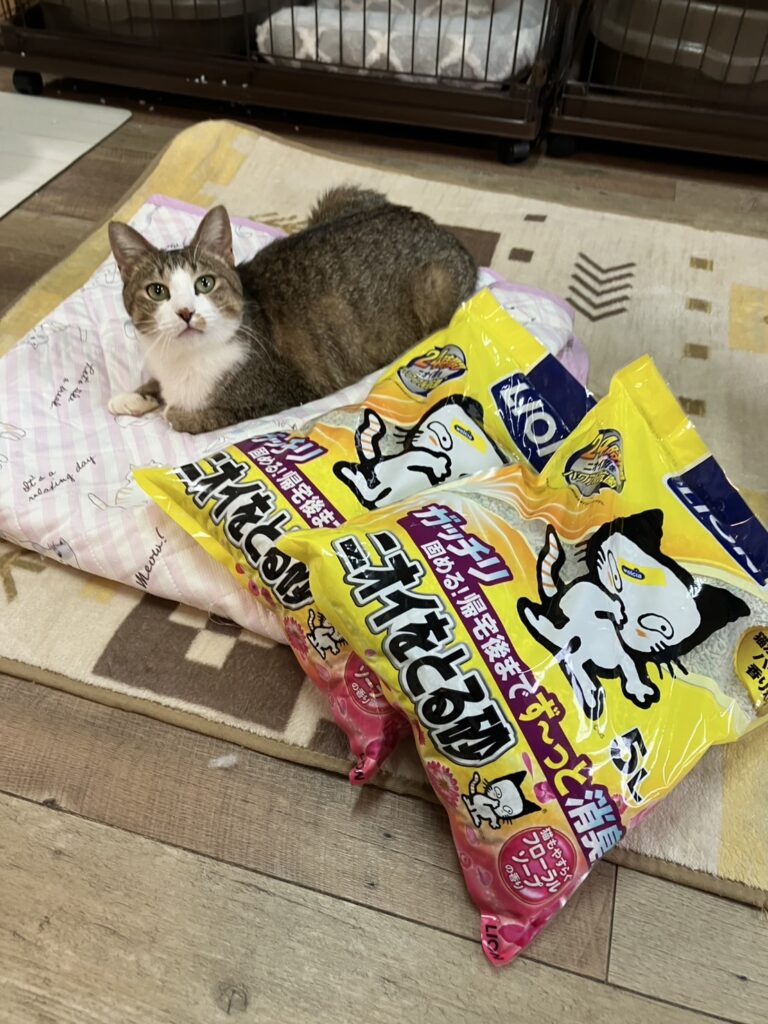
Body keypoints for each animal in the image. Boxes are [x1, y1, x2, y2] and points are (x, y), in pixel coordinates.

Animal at [107, 187, 477, 434]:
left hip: (436, 291)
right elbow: (154, 385)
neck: (184, 359)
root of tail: (449, 237)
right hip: (339, 196)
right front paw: (132, 397)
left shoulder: (279, 393)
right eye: (157, 291)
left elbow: (195, 416)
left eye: (205, 283)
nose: (185, 312)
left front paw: (172, 411)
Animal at [518, 509, 750, 720]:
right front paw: (614, 607)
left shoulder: (629, 655)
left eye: (664, 627)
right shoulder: (587, 592)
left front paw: (639, 689)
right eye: (630, 573)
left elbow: (631, 665)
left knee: (578, 658)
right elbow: (595, 594)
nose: (631, 617)